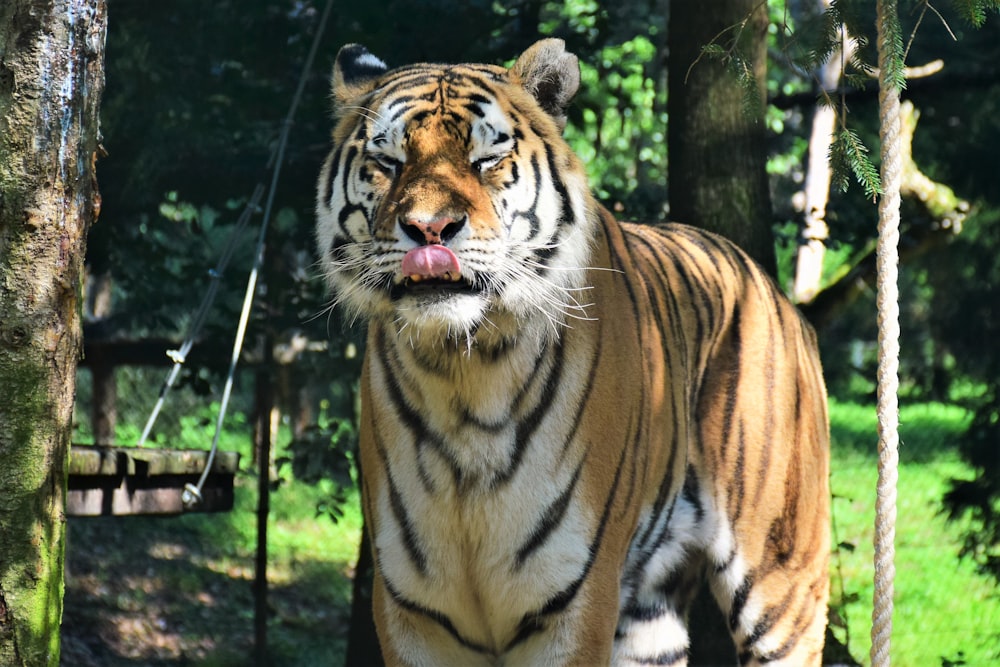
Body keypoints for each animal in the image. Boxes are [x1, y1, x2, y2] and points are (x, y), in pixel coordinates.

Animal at [314, 37, 828, 667]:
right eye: (388, 162)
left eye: (485, 160)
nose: (430, 230)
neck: (461, 376)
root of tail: (776, 292)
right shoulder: (411, 609)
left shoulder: (574, 600)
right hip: (649, 618)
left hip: (783, 583)